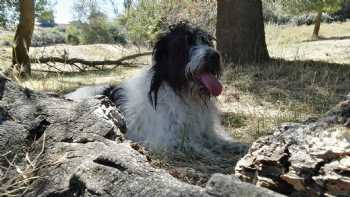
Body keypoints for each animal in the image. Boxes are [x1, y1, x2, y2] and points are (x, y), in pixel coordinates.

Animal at [66, 22, 241, 153]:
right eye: (186, 43)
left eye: (206, 42)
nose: (215, 56)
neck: (181, 92)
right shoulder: (165, 139)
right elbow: (195, 145)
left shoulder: (206, 131)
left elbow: (218, 139)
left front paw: (237, 145)